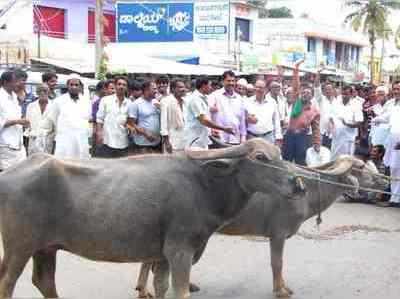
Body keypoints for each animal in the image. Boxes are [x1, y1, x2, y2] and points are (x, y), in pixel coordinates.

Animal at [0, 139, 310, 298]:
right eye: (260, 157)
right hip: (19, 248)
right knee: (7, 282)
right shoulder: (180, 250)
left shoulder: (162, 255)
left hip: (45, 248)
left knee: (44, 281)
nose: (298, 184)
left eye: (279, 154)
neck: (203, 184)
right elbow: (180, 292)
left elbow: (161, 287)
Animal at [135, 156, 388, 298]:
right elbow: (277, 262)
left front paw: (283, 286)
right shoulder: (278, 234)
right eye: (361, 166)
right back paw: (145, 290)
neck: (307, 192)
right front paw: (280, 290)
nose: (385, 181)